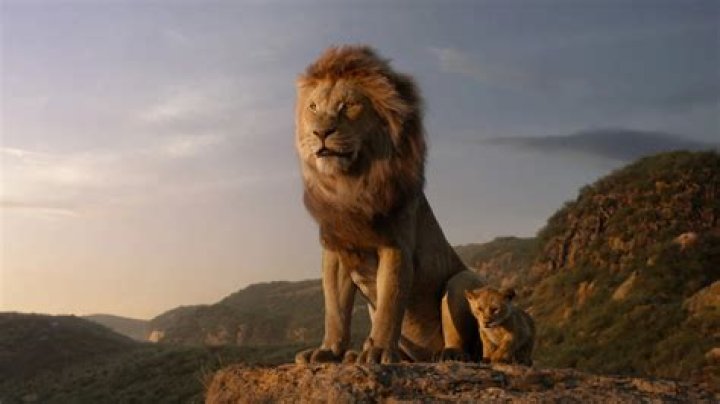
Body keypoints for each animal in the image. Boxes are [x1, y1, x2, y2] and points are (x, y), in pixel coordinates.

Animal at [294, 45, 484, 364]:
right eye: (313, 107)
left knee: (464, 340)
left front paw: (379, 351)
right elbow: (335, 310)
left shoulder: (395, 247)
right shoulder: (336, 251)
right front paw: (328, 351)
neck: (350, 183)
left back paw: (448, 354)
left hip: (462, 280)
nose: (321, 132)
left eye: (348, 105)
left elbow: (389, 305)